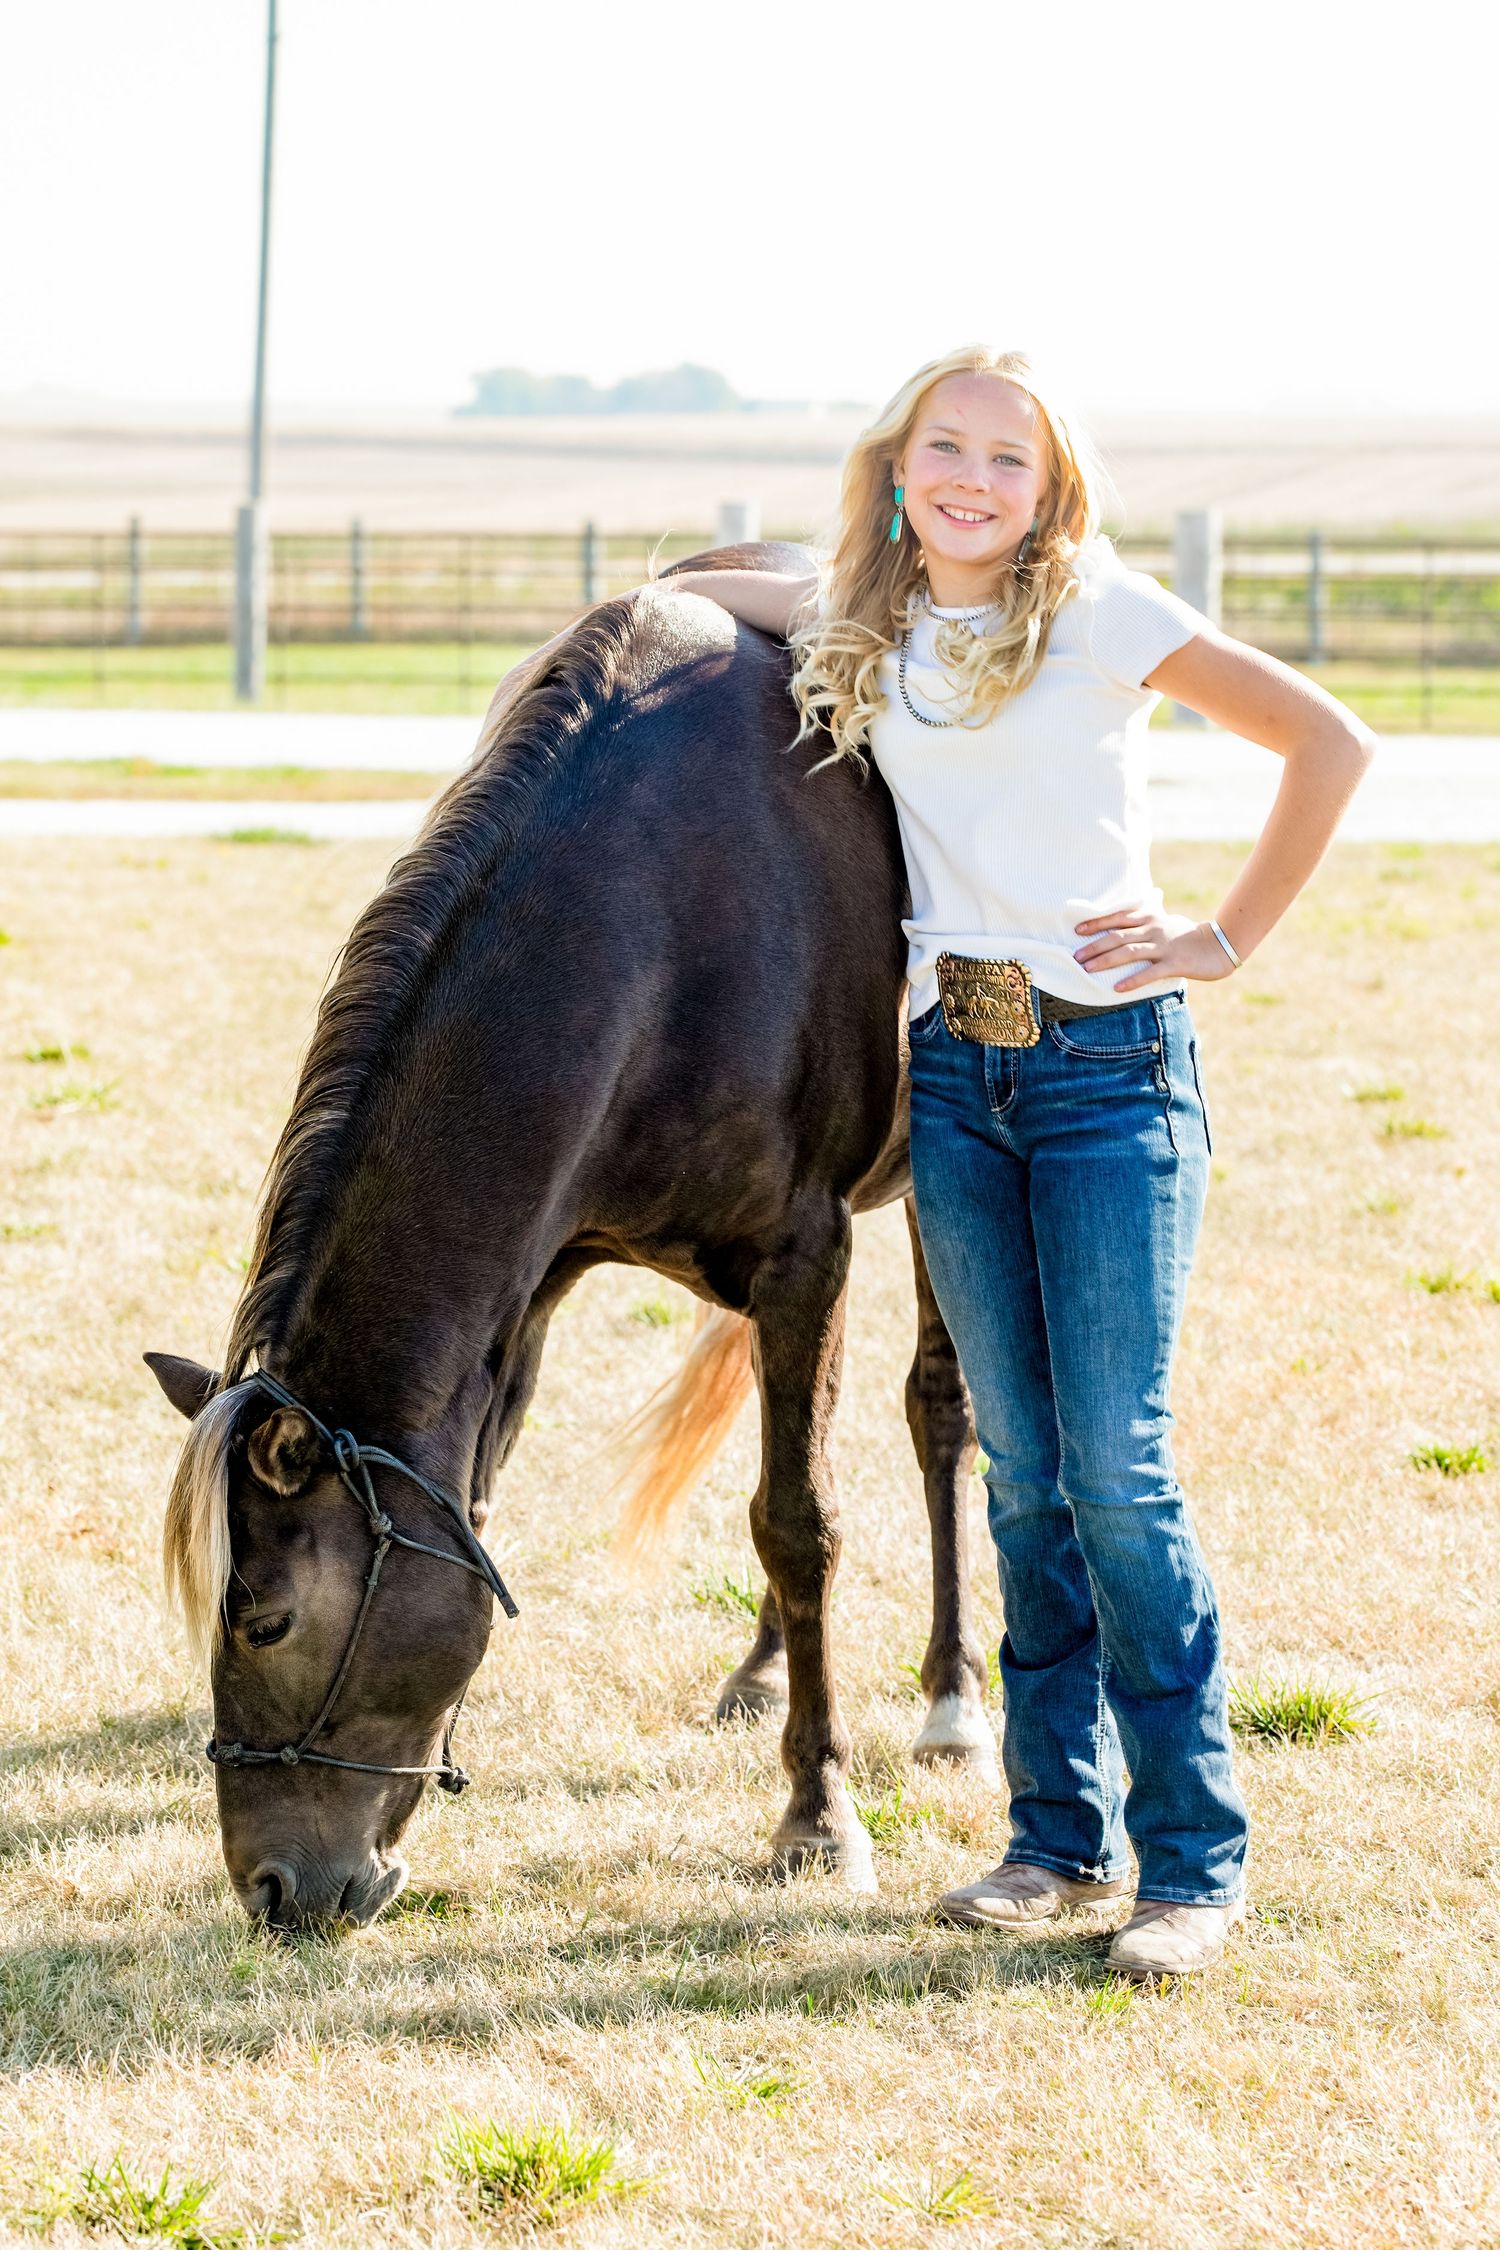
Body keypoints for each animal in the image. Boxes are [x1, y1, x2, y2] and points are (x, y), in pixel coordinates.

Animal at [146, 544, 996, 1932]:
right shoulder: (528, 1291)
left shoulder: (808, 1258)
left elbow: (803, 1521)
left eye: (264, 1621)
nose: (274, 1890)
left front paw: (818, 1816)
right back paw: (763, 1668)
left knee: (935, 1414)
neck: (653, 913)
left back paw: (953, 1697)